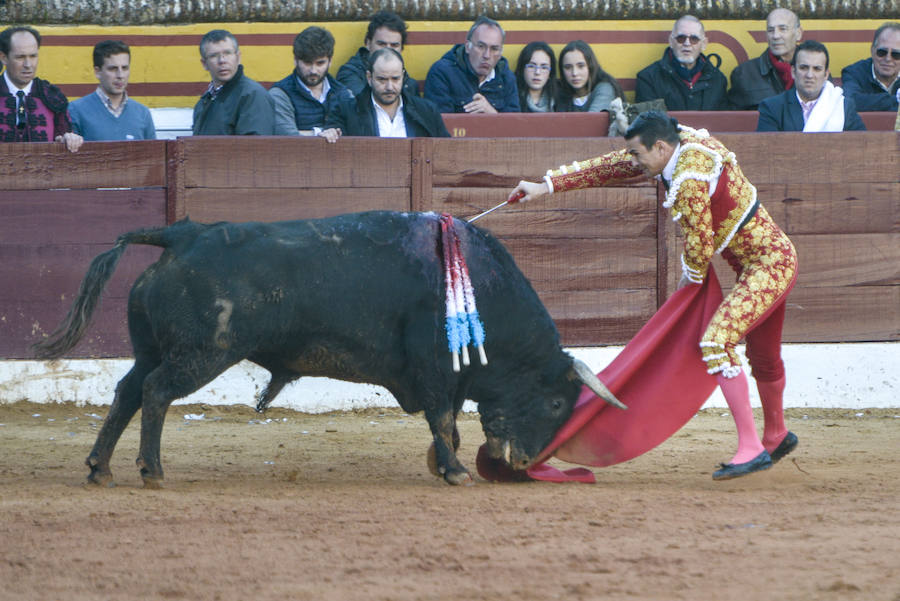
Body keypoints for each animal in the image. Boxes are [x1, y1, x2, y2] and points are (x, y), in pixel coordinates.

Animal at [33, 210, 620, 482]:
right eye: (555, 402)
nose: (523, 461)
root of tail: (183, 234)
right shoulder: (434, 368)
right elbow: (442, 418)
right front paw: (454, 471)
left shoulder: (448, 378)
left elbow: (448, 422)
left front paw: (442, 464)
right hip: (200, 353)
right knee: (155, 394)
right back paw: (151, 470)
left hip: (154, 349)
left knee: (127, 391)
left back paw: (100, 467)